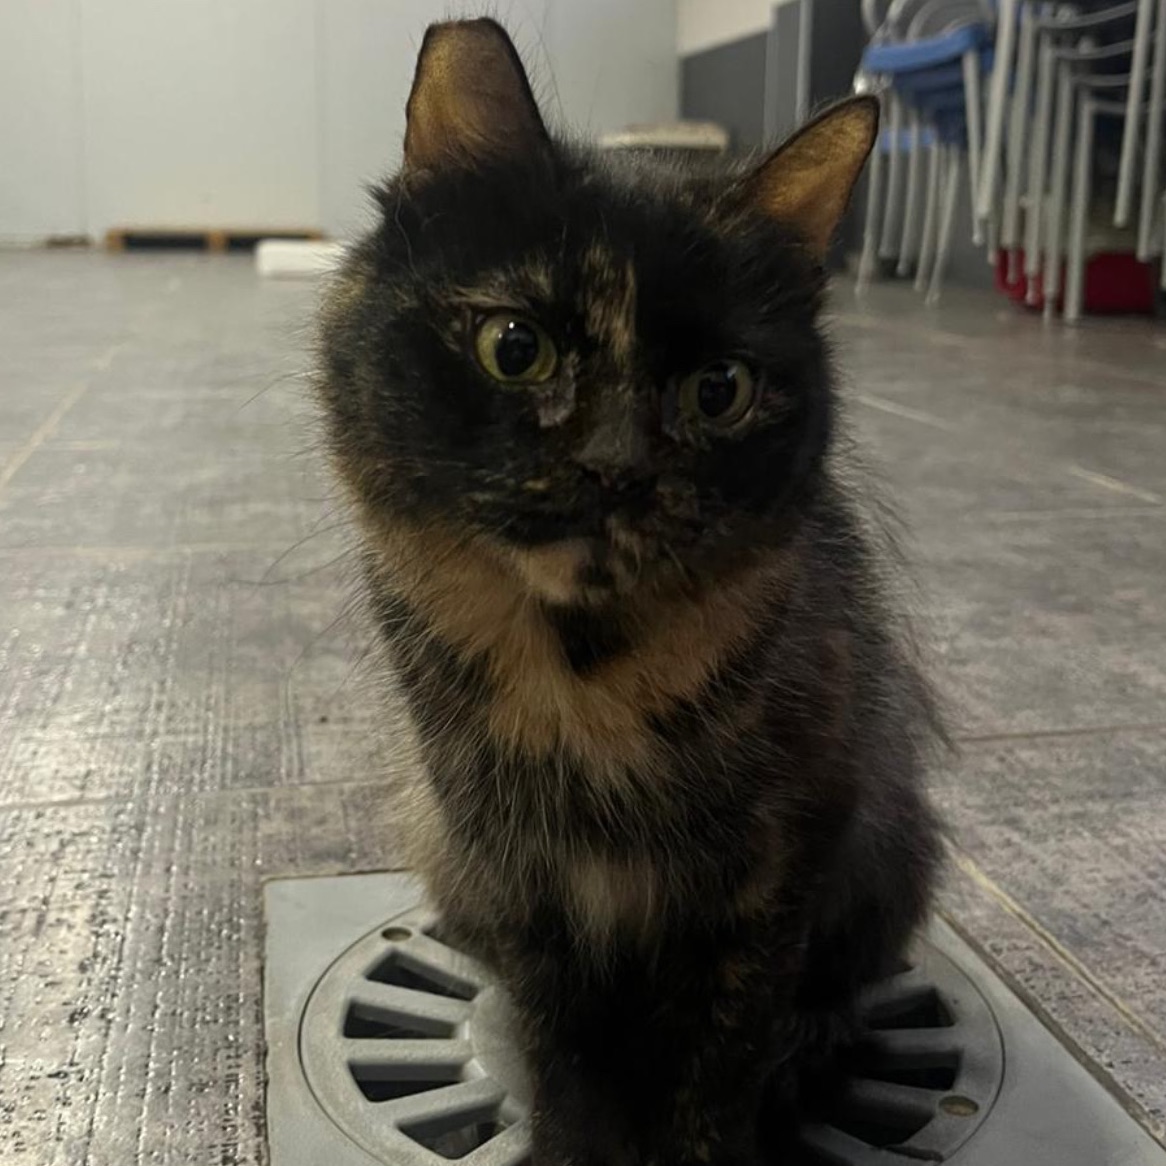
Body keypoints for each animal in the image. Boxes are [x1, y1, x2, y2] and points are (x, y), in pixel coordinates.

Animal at [315, 18, 943, 1166]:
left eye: (719, 391)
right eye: (515, 348)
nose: (615, 468)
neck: (585, 665)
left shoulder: (779, 855)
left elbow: (723, 1049)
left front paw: (713, 1130)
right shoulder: (510, 858)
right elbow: (564, 1043)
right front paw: (573, 1143)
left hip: (891, 839)